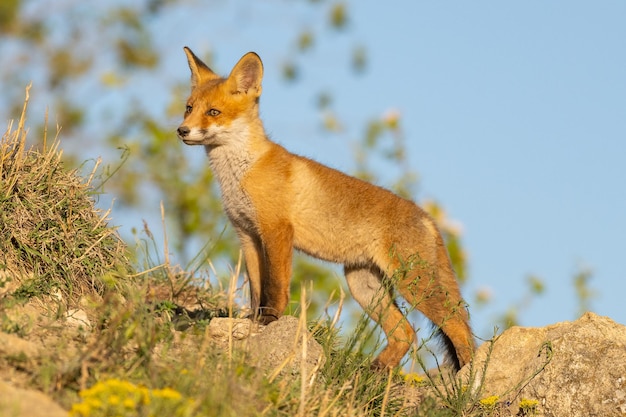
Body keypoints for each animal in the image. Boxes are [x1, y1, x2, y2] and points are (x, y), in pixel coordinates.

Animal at [176, 47, 472, 368]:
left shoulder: (276, 231)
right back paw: (373, 372)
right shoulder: (247, 235)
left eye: (213, 112)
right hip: (364, 285)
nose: (181, 130)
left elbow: (275, 286)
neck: (240, 172)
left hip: (413, 284)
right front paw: (253, 321)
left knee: (458, 326)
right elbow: (256, 288)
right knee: (406, 333)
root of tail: (427, 217)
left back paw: (471, 375)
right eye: (189, 108)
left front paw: (270, 321)